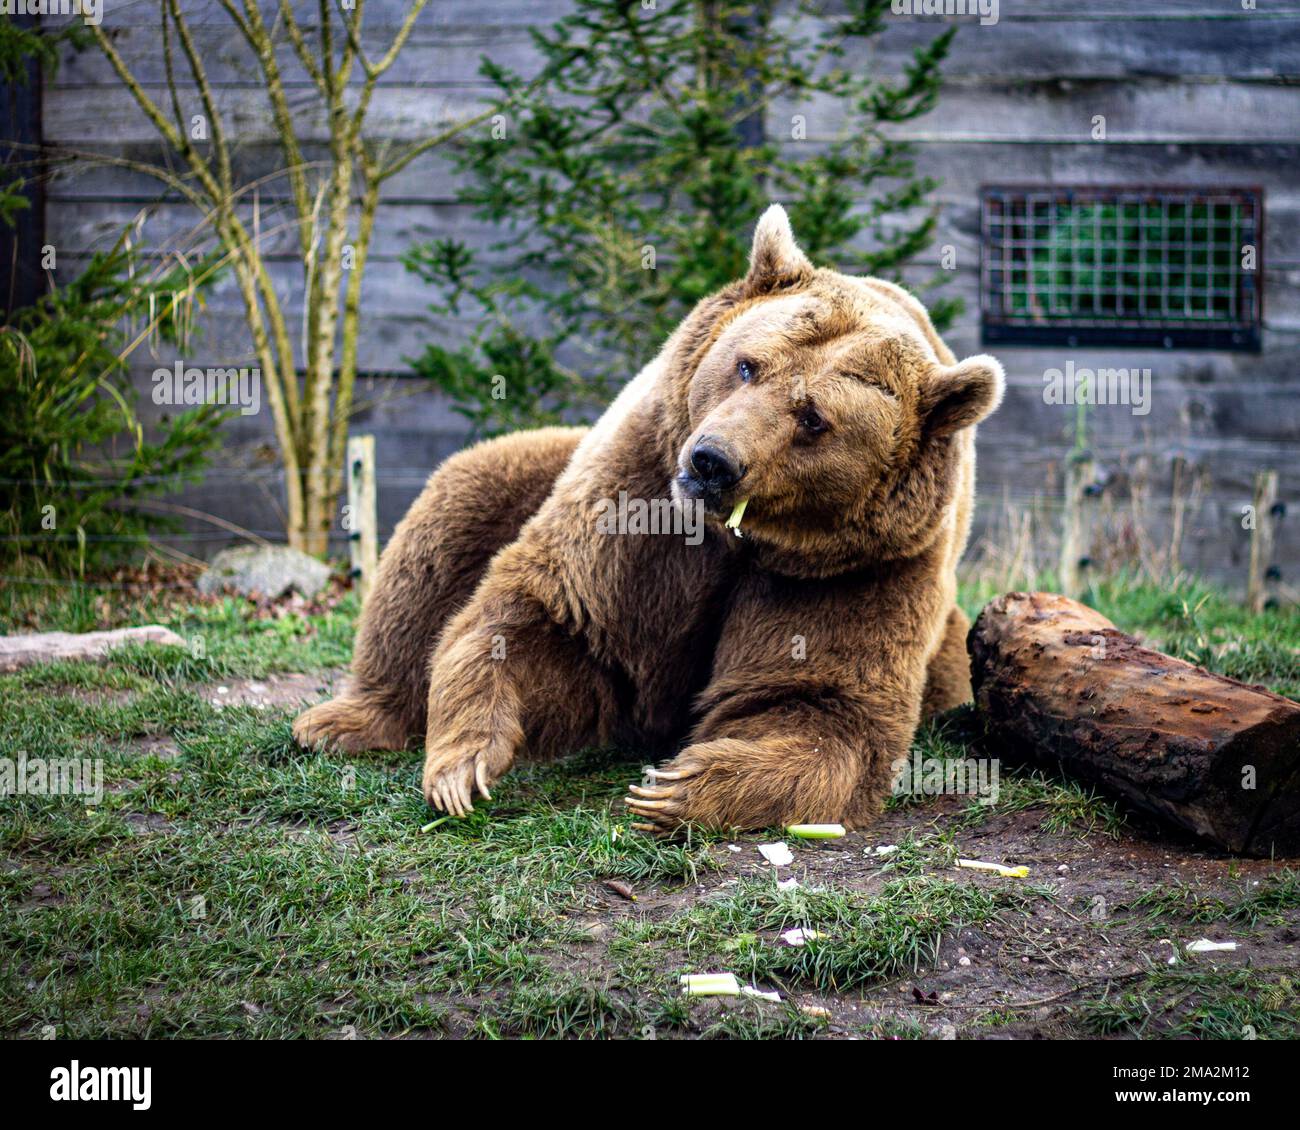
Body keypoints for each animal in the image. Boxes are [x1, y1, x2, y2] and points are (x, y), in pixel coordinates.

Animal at [293, 204, 1004, 834]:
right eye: (748, 364)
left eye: (813, 418)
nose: (713, 461)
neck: (740, 537)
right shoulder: (638, 499)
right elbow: (547, 614)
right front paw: (462, 765)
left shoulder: (852, 569)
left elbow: (814, 700)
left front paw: (676, 787)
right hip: (532, 467)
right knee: (449, 520)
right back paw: (343, 720)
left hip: (943, 647)